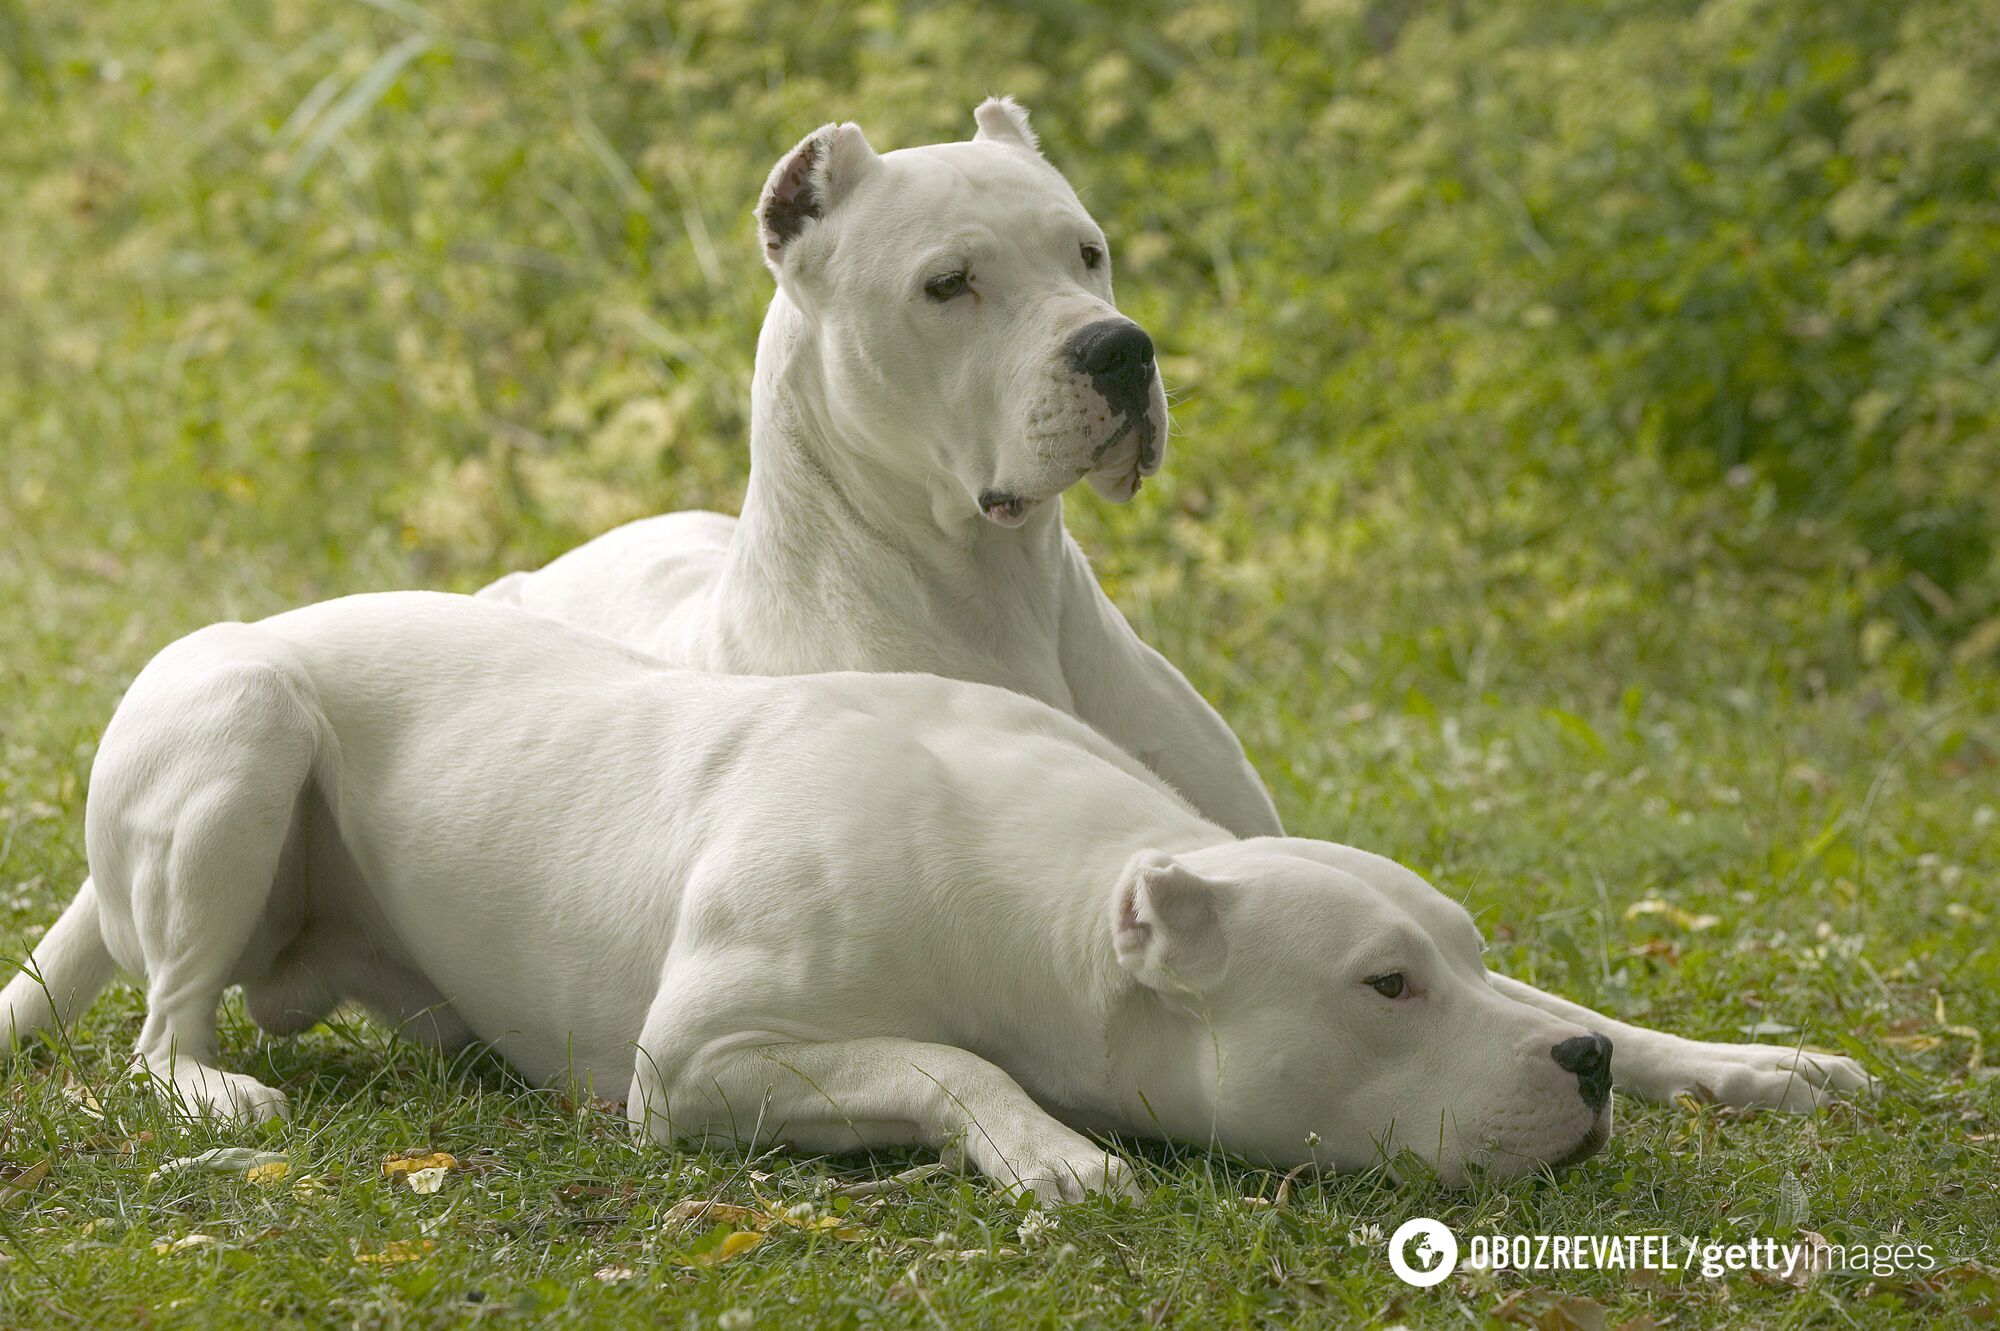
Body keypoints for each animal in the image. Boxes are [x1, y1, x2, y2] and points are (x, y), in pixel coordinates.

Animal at [3, 595, 1872, 1183]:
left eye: (1463, 961)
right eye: (1381, 987)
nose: (1580, 1079)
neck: (1061, 894)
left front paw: (1737, 1059)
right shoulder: (707, 1062)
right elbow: (947, 1059)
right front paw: (1053, 1151)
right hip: (240, 730)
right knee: (163, 1026)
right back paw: (210, 1082)